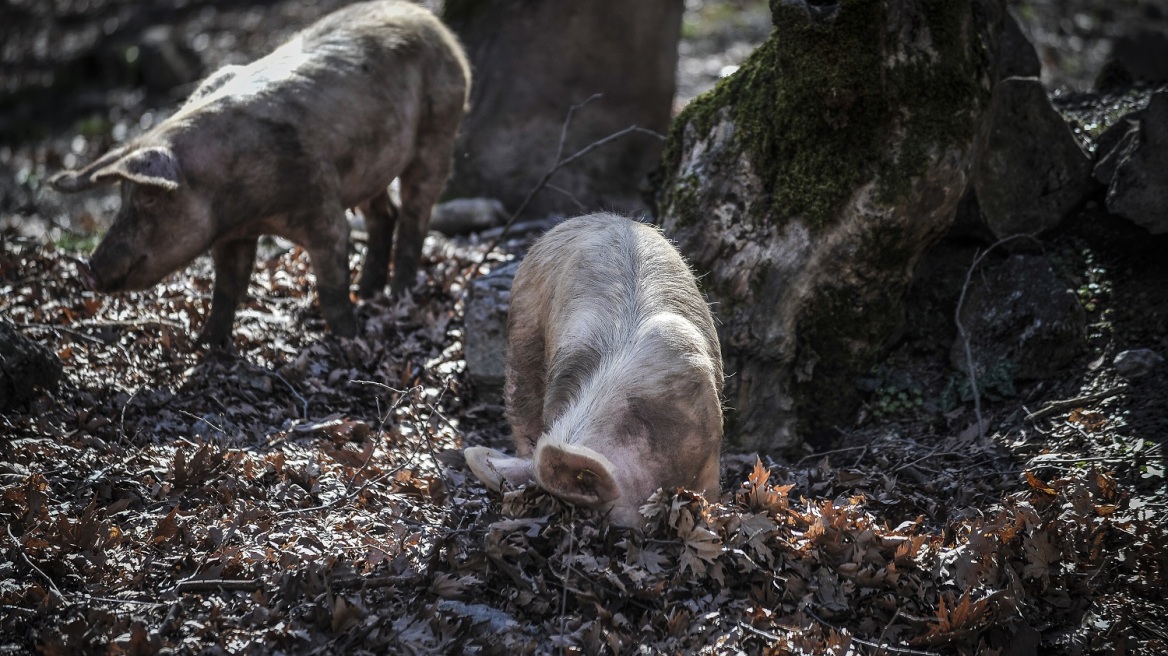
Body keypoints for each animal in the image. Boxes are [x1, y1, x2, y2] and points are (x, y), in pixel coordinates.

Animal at [49, 0, 469, 345]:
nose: (87, 269)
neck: (243, 205)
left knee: (416, 213)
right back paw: (368, 292)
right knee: (385, 214)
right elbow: (227, 287)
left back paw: (398, 294)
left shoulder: (319, 204)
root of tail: (437, 27)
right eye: (122, 197)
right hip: (371, 164)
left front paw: (348, 340)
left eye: (150, 198)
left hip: (440, 129)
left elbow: (331, 284)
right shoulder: (232, 236)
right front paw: (204, 348)